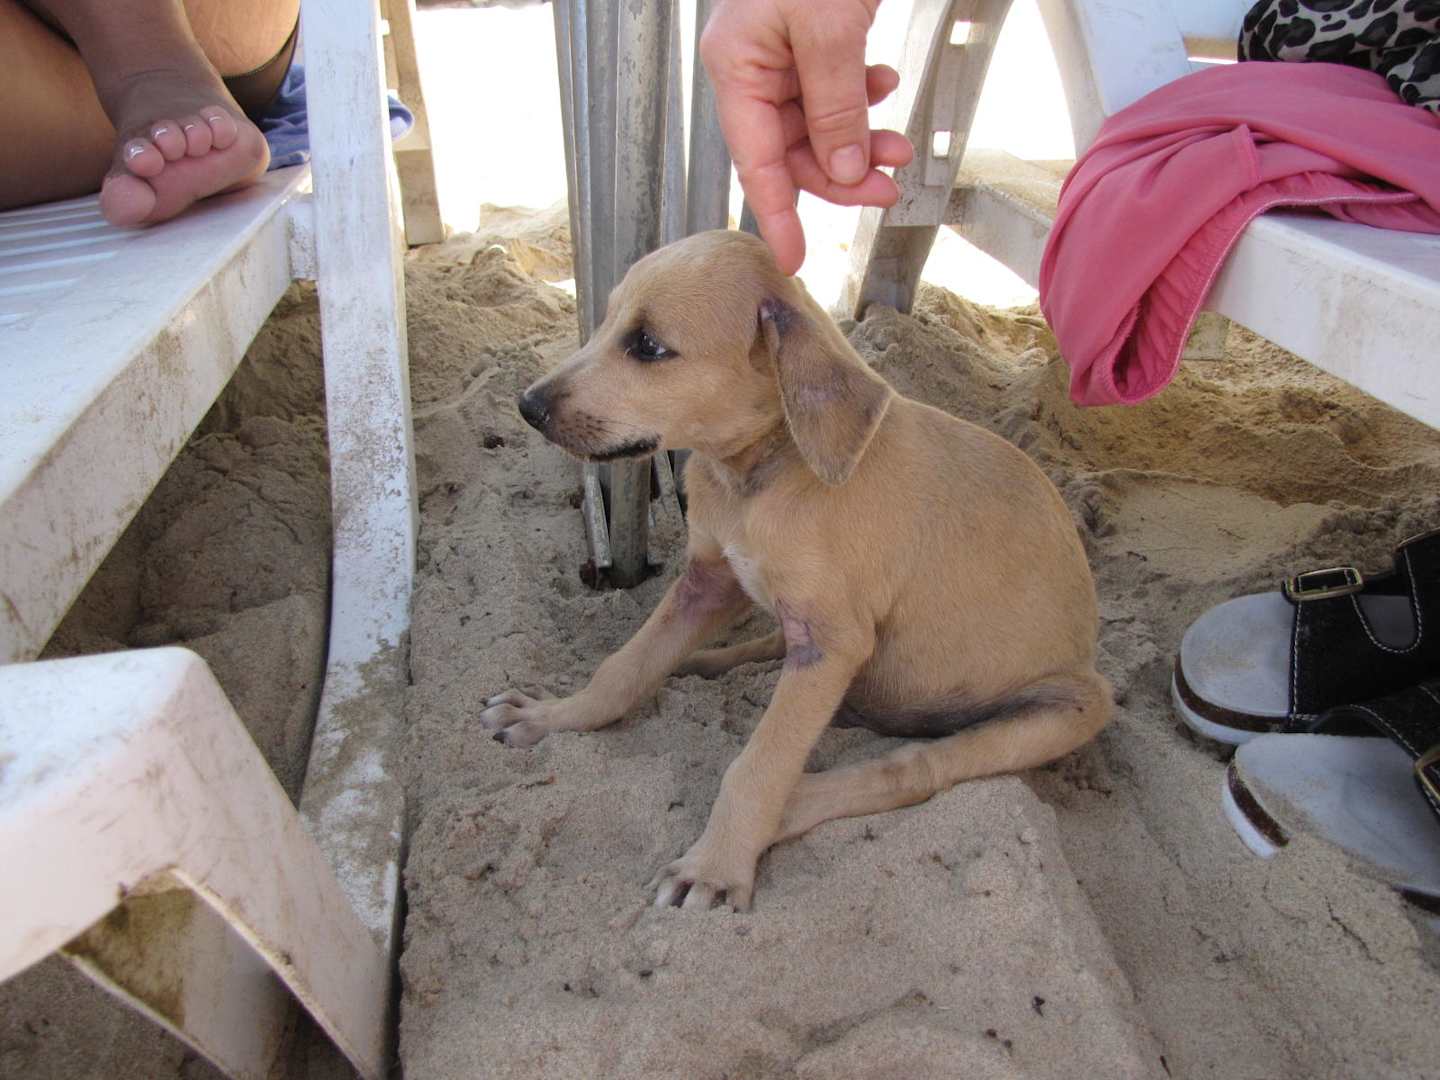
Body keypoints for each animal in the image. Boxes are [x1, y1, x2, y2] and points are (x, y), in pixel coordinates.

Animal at [486, 229, 1110, 911]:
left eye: (648, 346)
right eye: (605, 321)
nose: (526, 406)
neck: (764, 473)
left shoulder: (831, 646)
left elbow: (759, 766)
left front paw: (715, 865)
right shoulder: (709, 582)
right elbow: (622, 669)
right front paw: (553, 717)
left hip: (1061, 711)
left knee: (908, 771)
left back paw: (788, 807)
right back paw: (702, 665)